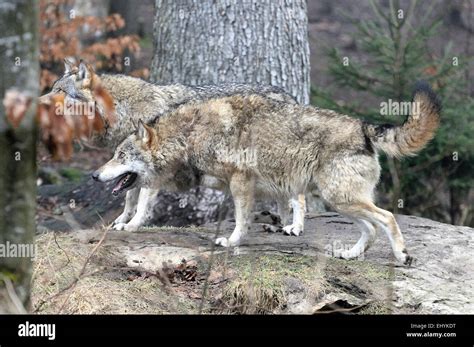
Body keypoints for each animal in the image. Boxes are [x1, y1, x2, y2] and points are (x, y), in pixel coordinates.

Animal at [39, 60, 308, 232]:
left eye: (60, 91)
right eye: (52, 88)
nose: (38, 103)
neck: (120, 111)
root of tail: (290, 98)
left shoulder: (153, 169)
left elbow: (140, 201)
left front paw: (132, 224)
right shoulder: (136, 169)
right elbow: (129, 196)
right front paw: (121, 221)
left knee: (298, 196)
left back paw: (294, 227)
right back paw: (282, 224)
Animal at [93, 82, 440, 266]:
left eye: (120, 156)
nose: (95, 176)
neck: (189, 135)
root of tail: (363, 128)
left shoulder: (240, 182)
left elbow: (240, 219)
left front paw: (231, 242)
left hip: (340, 198)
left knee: (387, 218)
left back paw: (402, 256)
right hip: (338, 201)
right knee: (369, 229)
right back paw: (350, 254)